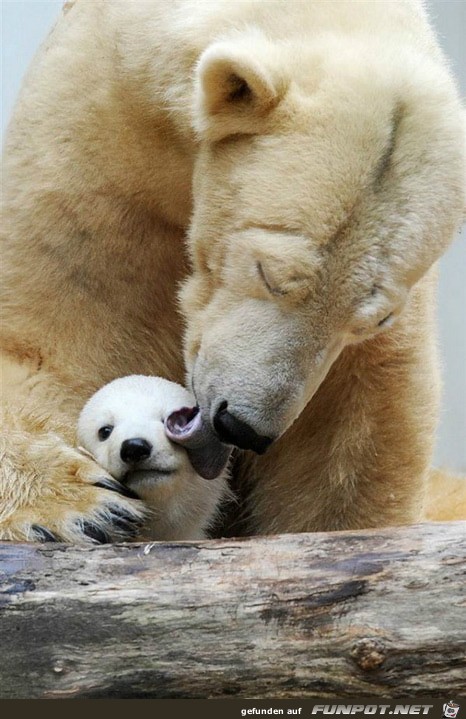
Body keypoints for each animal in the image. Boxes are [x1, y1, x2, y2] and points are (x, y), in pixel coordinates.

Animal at [0, 0, 464, 540]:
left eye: (371, 320)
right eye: (270, 274)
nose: (241, 426)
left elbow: (355, 427)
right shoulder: (100, 143)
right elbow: (51, 337)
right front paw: (81, 506)